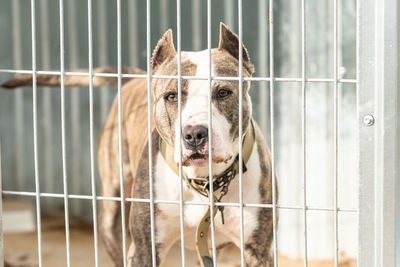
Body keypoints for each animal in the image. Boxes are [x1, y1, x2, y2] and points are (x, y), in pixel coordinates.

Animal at [2, 23, 278, 267]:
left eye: (223, 93)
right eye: (171, 96)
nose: (194, 134)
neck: (204, 181)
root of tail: (136, 78)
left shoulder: (258, 250)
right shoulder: (145, 248)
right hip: (112, 209)